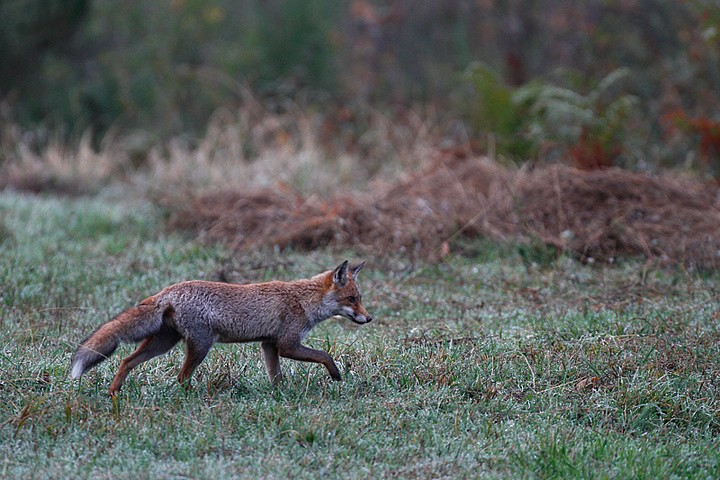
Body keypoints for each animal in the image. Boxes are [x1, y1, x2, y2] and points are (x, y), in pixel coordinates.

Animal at [69, 260, 372, 396]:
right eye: (352, 299)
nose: (368, 319)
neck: (303, 300)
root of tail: (168, 291)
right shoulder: (288, 344)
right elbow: (324, 355)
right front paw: (335, 375)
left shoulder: (269, 344)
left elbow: (276, 376)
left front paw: (280, 394)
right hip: (200, 346)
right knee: (181, 377)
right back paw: (191, 396)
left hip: (163, 344)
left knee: (127, 360)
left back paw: (114, 392)